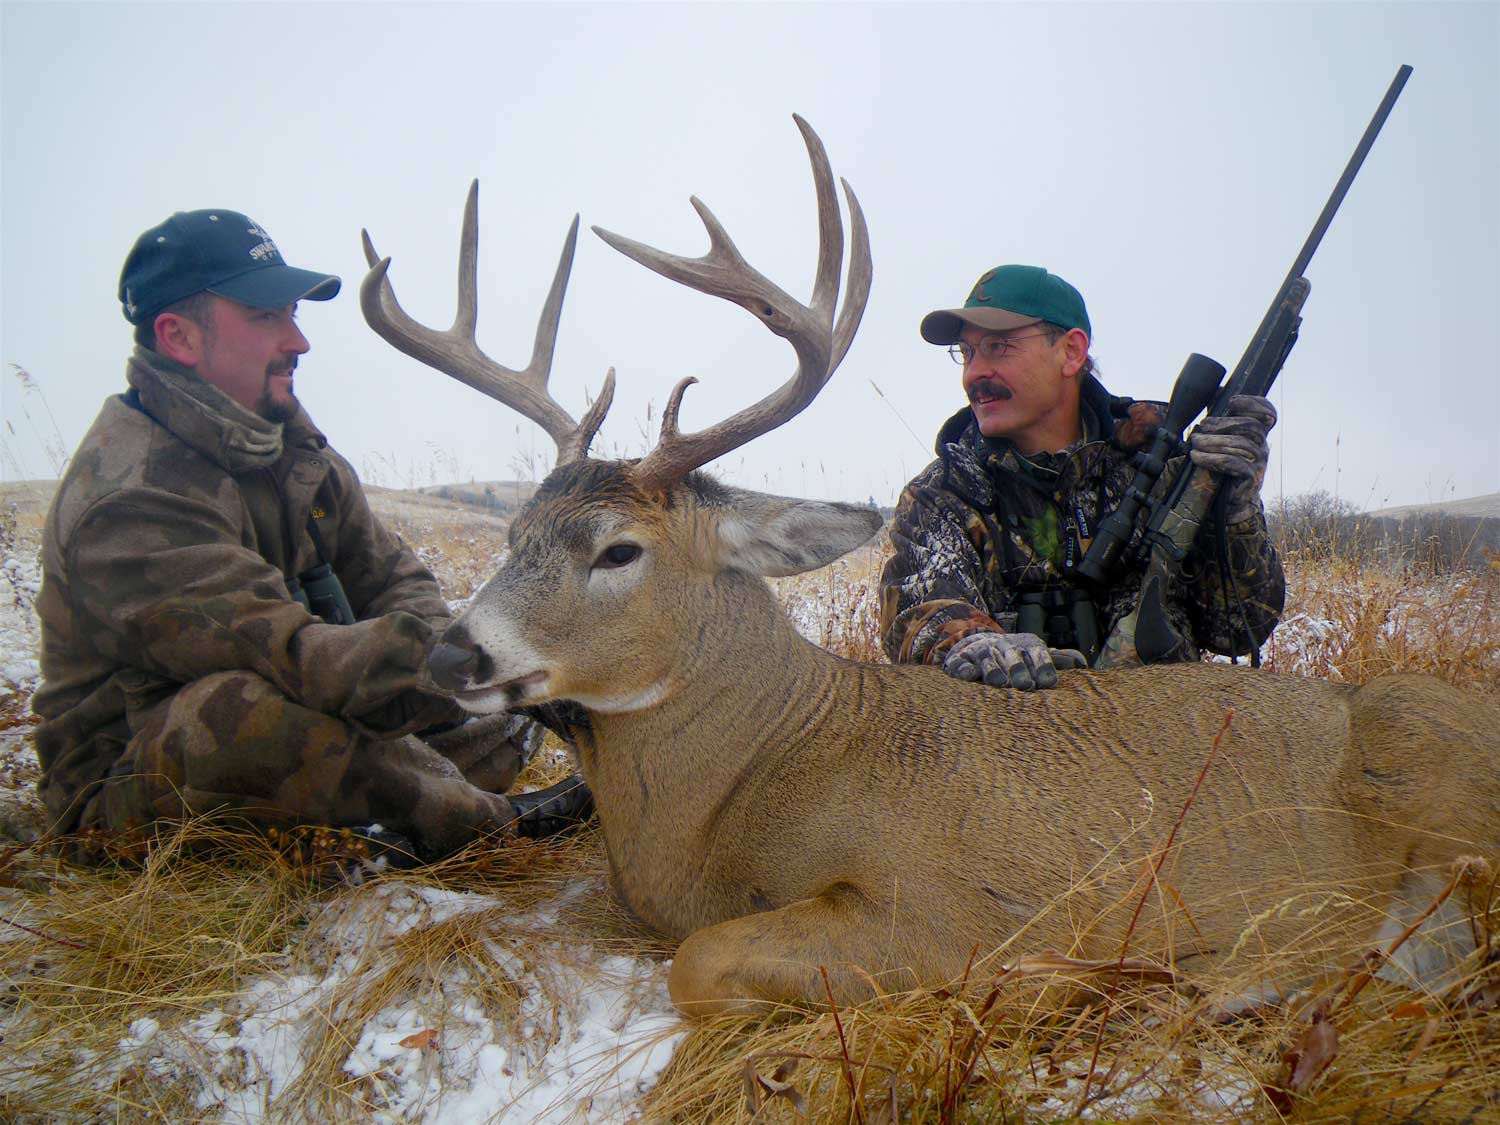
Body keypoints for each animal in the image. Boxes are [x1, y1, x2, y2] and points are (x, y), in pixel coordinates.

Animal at [366, 119, 1500, 1020]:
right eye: (514, 532)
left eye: (617, 549)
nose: (453, 653)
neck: (741, 787)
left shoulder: (947, 904)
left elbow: (699, 962)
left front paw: (1068, 979)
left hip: (1427, 762)